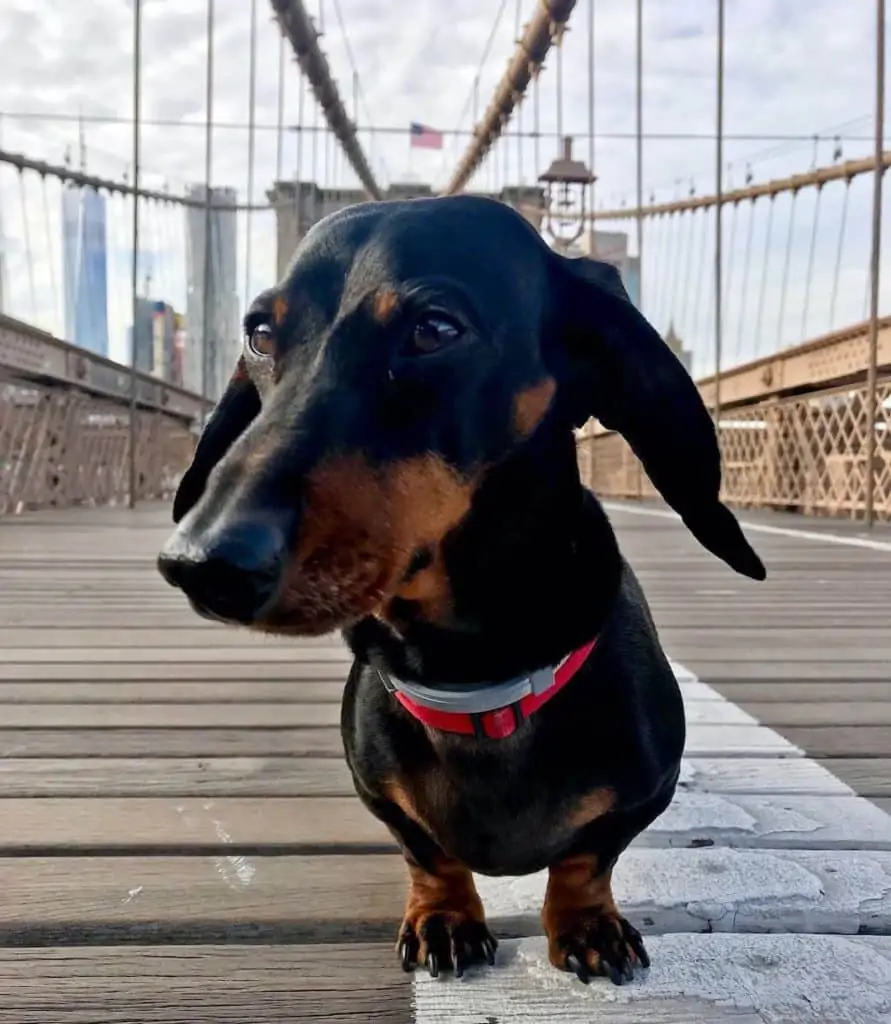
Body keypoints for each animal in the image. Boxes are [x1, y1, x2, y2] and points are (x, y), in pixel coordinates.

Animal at [156, 192, 761, 983]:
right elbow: (428, 852)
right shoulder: (378, 791)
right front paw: (445, 917)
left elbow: (587, 855)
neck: (472, 677)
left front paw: (586, 923)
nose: (201, 562)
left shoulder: (646, 791)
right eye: (260, 333)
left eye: (435, 329)